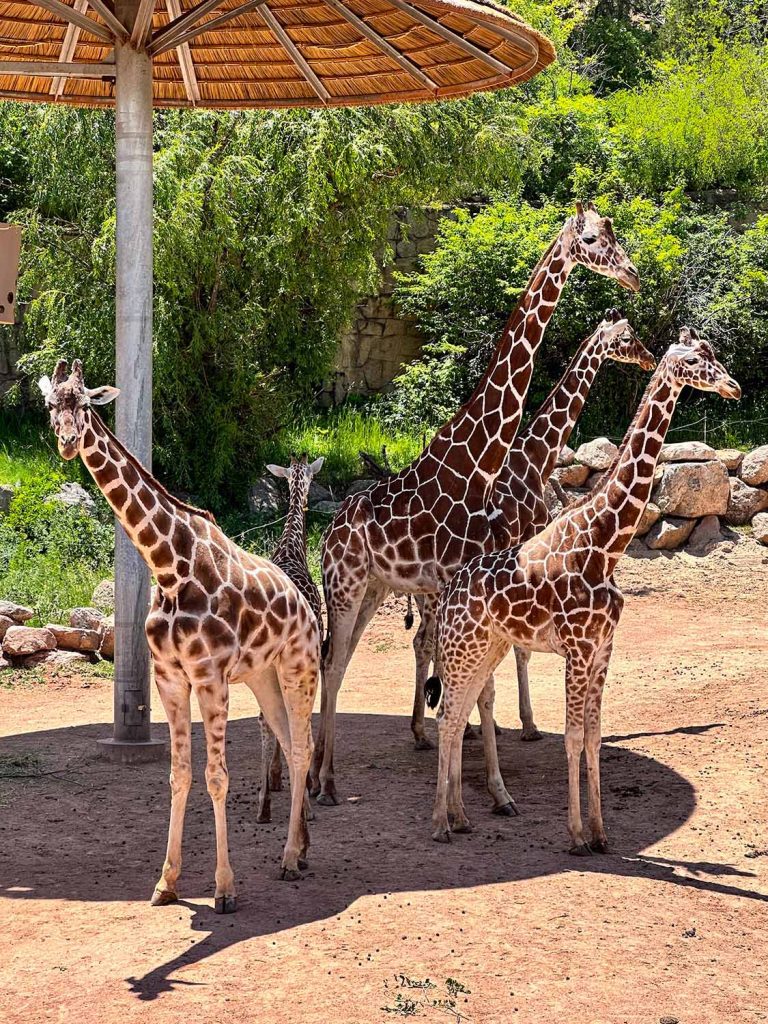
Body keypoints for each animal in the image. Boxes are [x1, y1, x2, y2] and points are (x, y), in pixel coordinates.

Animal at [39, 360, 320, 913]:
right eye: (50, 404)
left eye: (84, 402)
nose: (67, 443)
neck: (169, 568)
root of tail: (303, 606)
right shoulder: (170, 678)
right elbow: (179, 775)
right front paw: (166, 884)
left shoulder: (210, 677)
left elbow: (216, 777)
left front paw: (225, 888)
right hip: (264, 677)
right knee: (285, 740)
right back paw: (299, 850)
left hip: (300, 668)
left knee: (302, 746)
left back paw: (290, 859)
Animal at [408, 309, 656, 755]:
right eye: (627, 338)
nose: (648, 359)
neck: (535, 459)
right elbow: (522, 652)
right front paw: (527, 724)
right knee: (434, 644)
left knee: (427, 643)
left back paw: (429, 730)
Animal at [426, 329, 740, 851]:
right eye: (698, 361)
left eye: (714, 355)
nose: (733, 387)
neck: (605, 546)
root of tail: (448, 595)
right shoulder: (576, 648)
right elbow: (572, 737)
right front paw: (575, 834)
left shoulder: (603, 648)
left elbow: (594, 737)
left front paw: (601, 832)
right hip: (462, 648)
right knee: (448, 718)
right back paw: (441, 824)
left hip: (487, 649)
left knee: (456, 716)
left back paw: (461, 817)